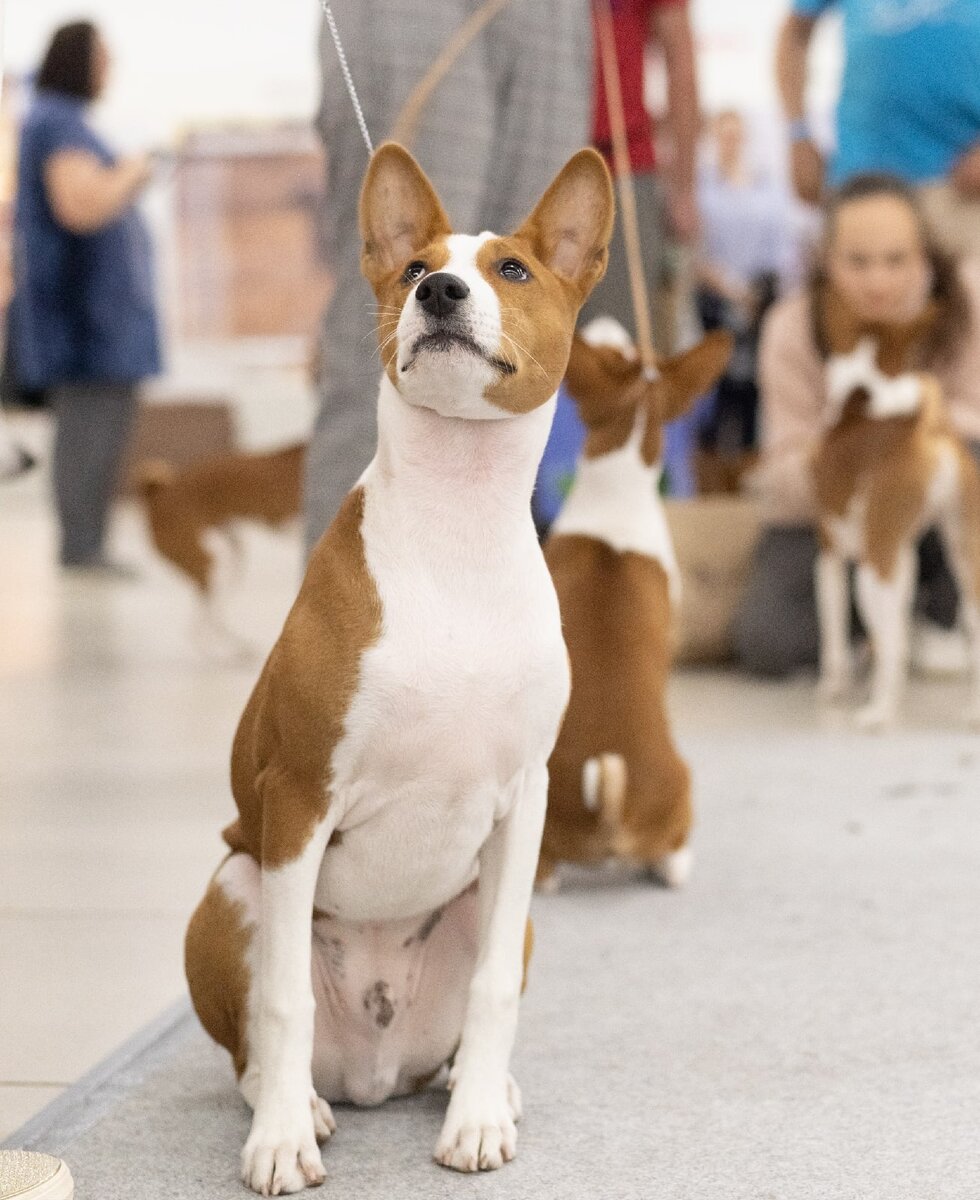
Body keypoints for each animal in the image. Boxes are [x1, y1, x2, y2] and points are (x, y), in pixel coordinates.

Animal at [133, 448, 302, 662]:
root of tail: (159, 492)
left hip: (231, 562)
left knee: (210, 617)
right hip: (214, 564)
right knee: (197, 628)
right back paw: (225, 654)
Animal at [183, 142, 611, 1190]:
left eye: (514, 270)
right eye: (416, 266)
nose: (442, 291)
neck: (457, 529)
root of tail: (375, 1069)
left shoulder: (525, 800)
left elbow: (495, 991)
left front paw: (475, 1122)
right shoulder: (299, 796)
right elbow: (284, 999)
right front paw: (281, 1144)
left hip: (491, 906)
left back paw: (475, 1086)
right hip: (232, 887)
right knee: (260, 1043)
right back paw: (296, 1107)